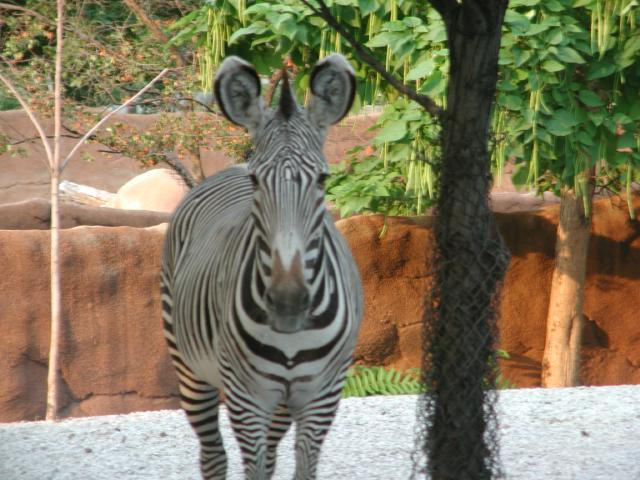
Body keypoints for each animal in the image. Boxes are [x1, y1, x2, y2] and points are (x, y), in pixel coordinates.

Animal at [160, 54, 363, 480]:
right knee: (213, 455)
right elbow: (250, 465)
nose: (287, 302)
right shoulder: (246, 398)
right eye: (256, 181)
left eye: (323, 179)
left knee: (268, 457)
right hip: (189, 366)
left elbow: (301, 468)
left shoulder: (322, 396)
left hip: (282, 400)